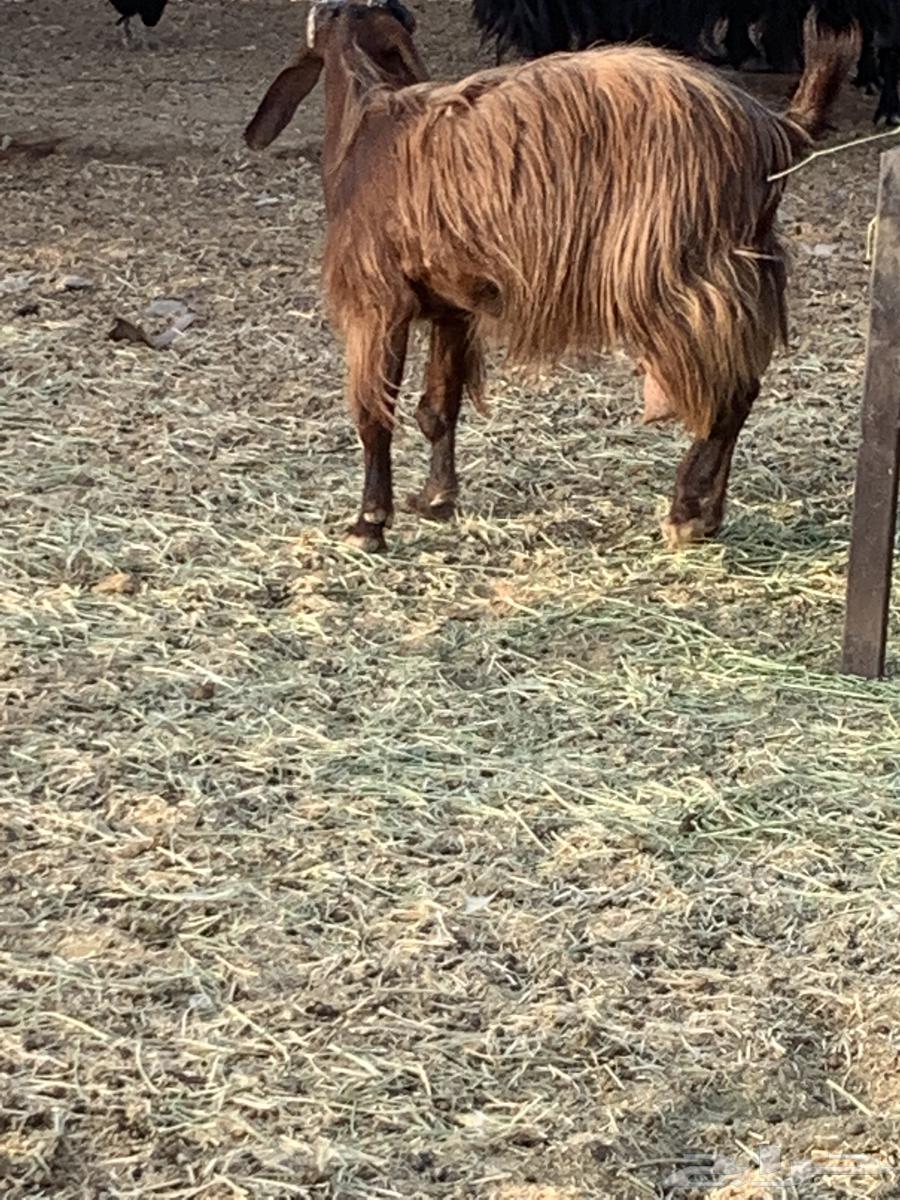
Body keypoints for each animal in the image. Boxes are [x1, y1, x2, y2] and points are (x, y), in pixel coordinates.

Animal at [244, 0, 853, 552]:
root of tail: (776, 130)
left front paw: (369, 524)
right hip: (741, 273)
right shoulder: (453, 305)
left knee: (724, 391)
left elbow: (374, 414)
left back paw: (686, 513)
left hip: (678, 277)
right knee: (741, 388)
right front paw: (436, 500)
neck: (366, 132)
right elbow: (437, 408)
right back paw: (707, 515)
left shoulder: (377, 303)